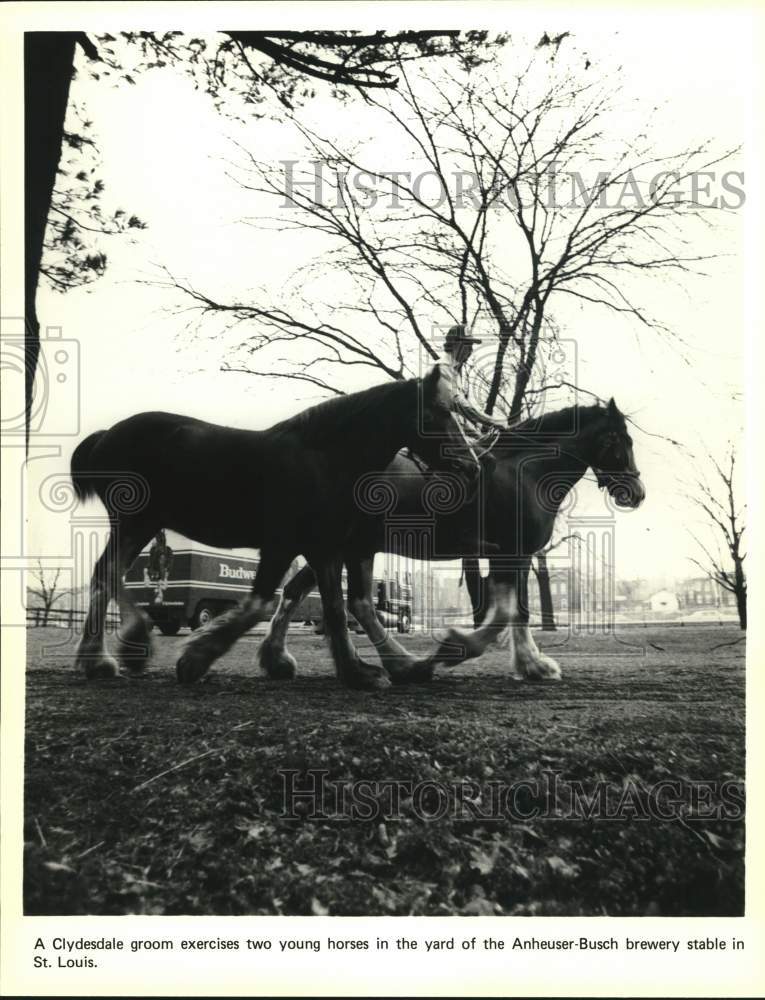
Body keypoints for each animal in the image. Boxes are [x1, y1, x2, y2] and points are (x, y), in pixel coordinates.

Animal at [69, 366, 479, 691]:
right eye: (438, 412)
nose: (471, 465)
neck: (324, 457)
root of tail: (105, 436)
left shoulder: (322, 548)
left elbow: (332, 608)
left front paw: (356, 671)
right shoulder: (286, 545)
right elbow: (262, 603)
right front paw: (195, 659)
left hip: (139, 526)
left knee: (106, 576)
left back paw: (104, 657)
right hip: (135, 524)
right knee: (107, 575)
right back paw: (120, 651)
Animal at [258, 398, 645, 683]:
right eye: (620, 441)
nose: (637, 493)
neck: (524, 472)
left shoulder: (516, 557)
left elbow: (517, 610)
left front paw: (531, 664)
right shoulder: (510, 554)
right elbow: (506, 613)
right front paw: (458, 647)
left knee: (297, 591)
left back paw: (278, 659)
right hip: (353, 548)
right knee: (355, 604)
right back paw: (402, 665)